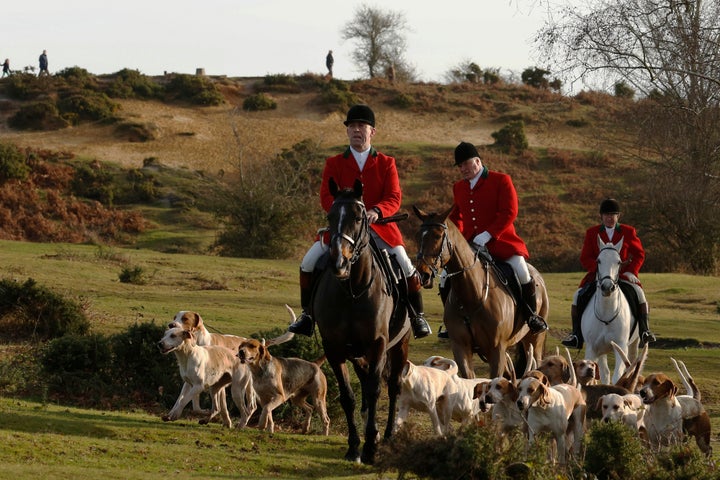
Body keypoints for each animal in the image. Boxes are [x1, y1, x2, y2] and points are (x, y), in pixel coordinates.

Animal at [316, 178, 410, 464]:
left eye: (359, 218)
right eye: (330, 216)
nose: (339, 262)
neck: (352, 290)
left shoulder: (378, 345)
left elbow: (374, 390)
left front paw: (369, 449)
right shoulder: (334, 348)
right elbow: (348, 396)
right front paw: (354, 446)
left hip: (399, 346)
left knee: (393, 386)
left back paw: (387, 435)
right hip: (358, 355)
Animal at [410, 206, 544, 378]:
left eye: (437, 236)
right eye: (418, 236)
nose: (422, 275)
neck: (472, 295)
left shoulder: (497, 350)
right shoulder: (461, 348)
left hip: (534, 340)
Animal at [584, 238, 640, 384]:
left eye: (618, 262)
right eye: (598, 261)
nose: (607, 287)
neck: (606, 313)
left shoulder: (621, 346)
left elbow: (618, 376)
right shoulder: (592, 349)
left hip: (634, 343)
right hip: (601, 350)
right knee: (605, 373)